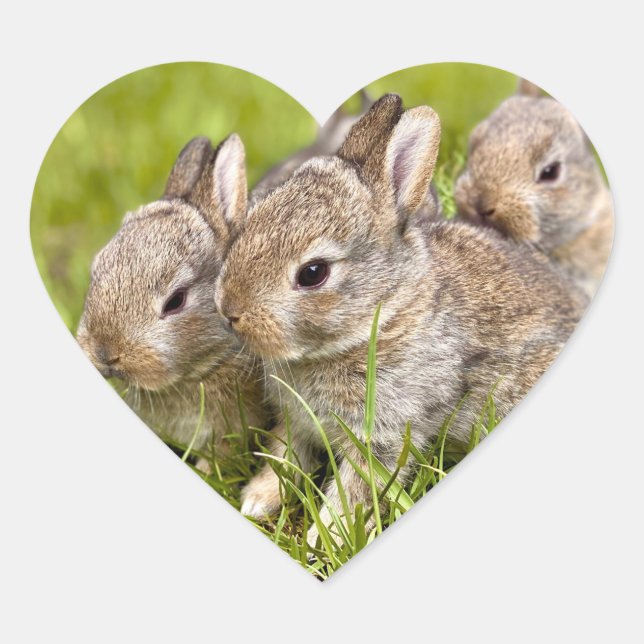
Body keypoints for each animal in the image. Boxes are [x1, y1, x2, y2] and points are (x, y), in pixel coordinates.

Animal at [213, 94, 587, 544]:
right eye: (248, 223)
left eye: (313, 273)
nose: (229, 310)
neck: (381, 315)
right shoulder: (297, 422)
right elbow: (283, 457)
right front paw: (256, 501)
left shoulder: (384, 435)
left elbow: (355, 487)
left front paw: (326, 535)